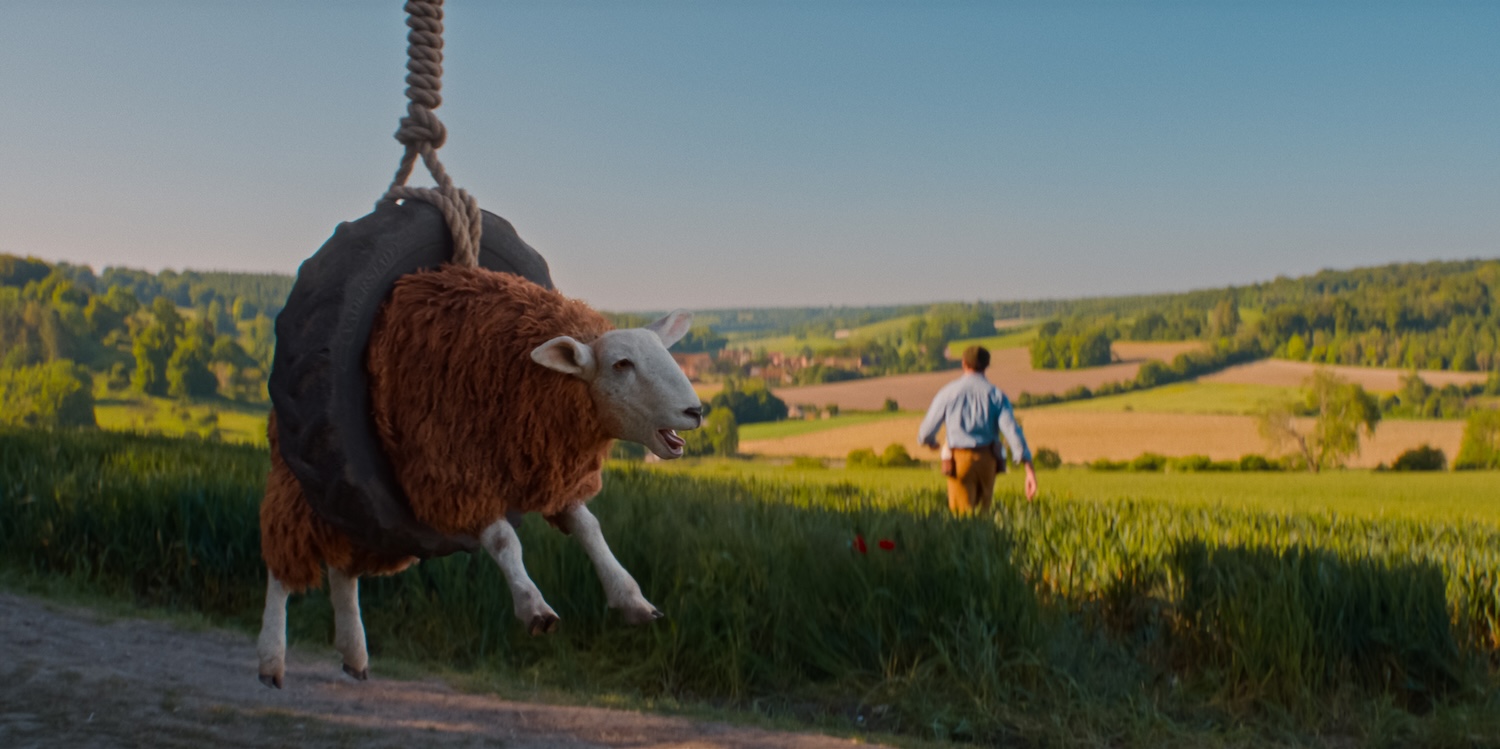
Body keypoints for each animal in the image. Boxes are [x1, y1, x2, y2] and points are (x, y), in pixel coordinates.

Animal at [257, 265, 703, 688]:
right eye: (622, 364)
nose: (696, 411)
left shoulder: (550, 475)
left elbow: (591, 529)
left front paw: (631, 599)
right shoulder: (458, 474)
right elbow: (505, 540)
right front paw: (534, 607)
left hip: (361, 514)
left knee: (341, 567)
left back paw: (353, 652)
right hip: (304, 486)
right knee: (282, 565)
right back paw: (271, 659)